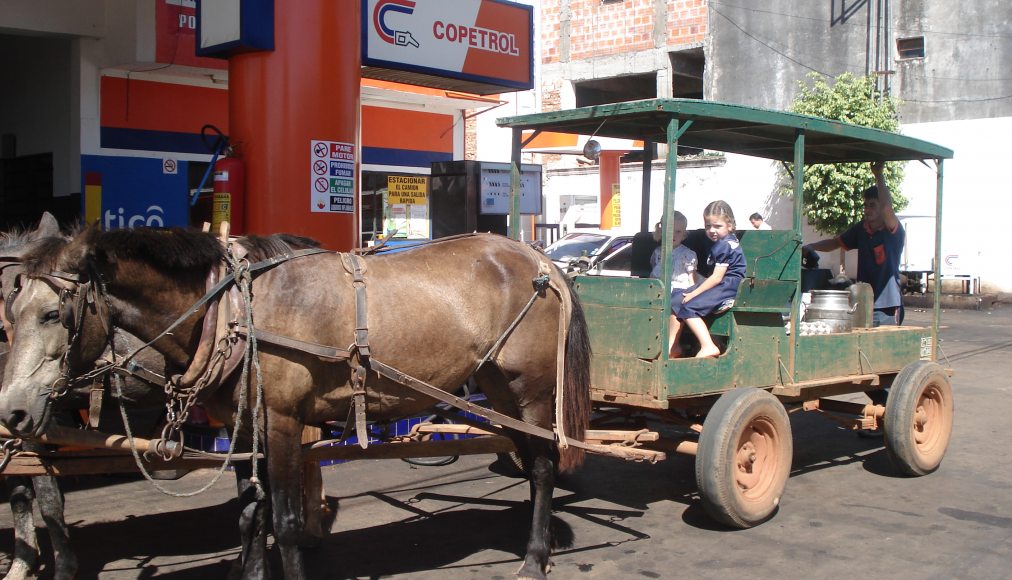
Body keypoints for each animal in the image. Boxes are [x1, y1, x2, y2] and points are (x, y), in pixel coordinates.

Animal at [0, 227, 591, 578]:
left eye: (53, 315)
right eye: (13, 309)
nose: (13, 412)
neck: (236, 309)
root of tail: (536, 255)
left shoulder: (282, 423)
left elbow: (282, 520)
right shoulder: (247, 429)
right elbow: (249, 516)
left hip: (531, 391)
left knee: (543, 467)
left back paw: (534, 557)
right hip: (497, 390)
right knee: (528, 457)